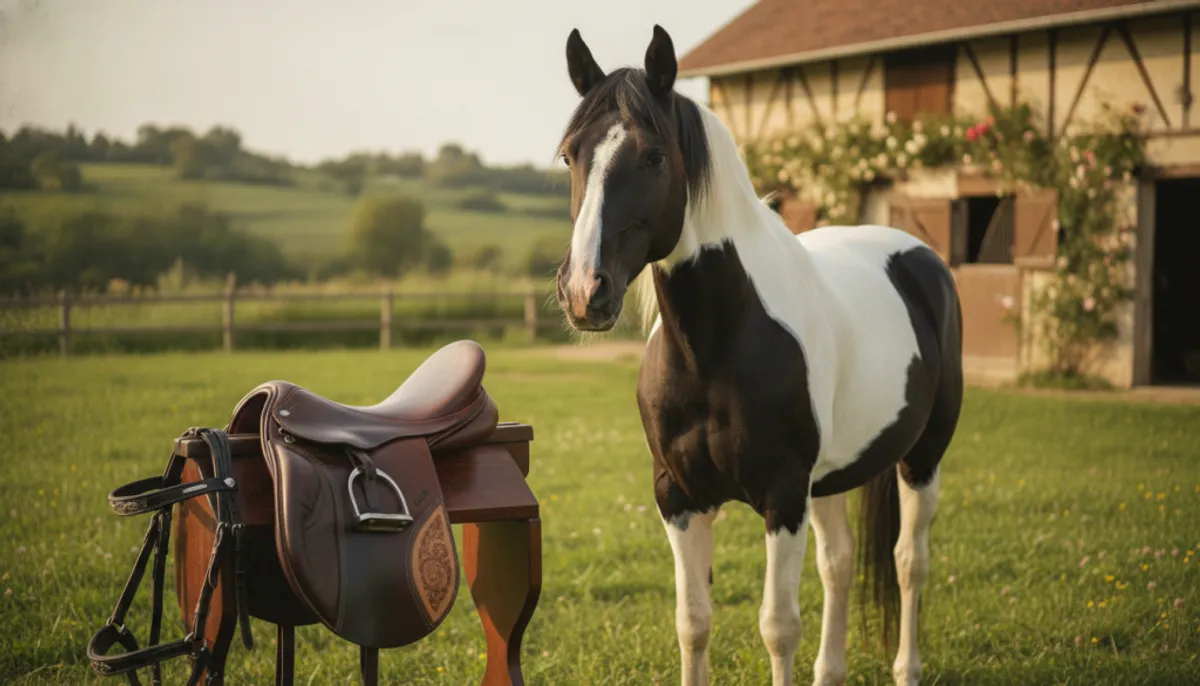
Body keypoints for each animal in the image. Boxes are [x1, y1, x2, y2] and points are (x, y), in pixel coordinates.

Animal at [551, 25, 963, 686]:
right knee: (840, 562)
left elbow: (778, 626)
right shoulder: (679, 498)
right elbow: (693, 622)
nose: (585, 291)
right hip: (832, 478)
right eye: (570, 155)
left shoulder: (783, 495)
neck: (714, 348)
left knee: (909, 562)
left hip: (922, 458)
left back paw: (907, 668)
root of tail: (917, 254)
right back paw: (832, 670)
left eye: (654, 156)